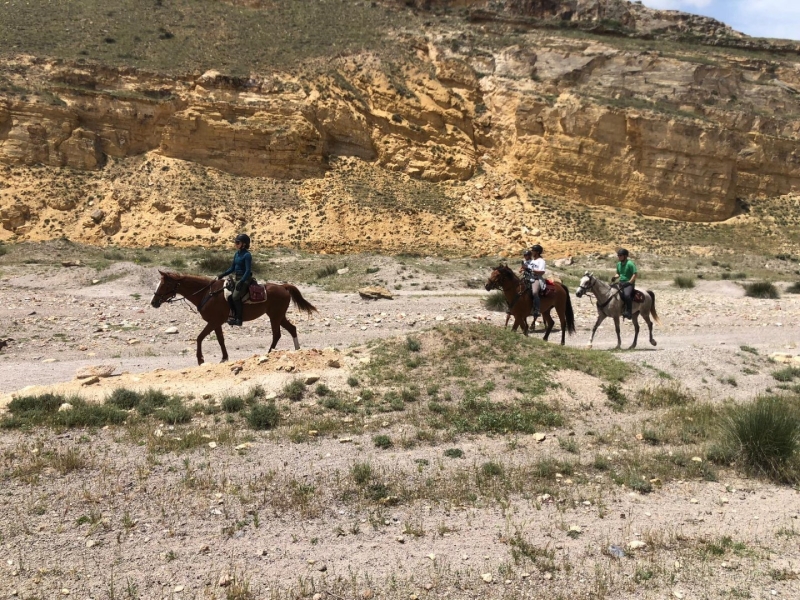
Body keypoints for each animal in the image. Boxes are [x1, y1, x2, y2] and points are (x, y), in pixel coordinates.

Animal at [150, 272, 316, 366]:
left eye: (164, 285)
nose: (153, 302)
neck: (207, 294)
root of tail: (283, 287)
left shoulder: (213, 322)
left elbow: (199, 338)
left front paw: (200, 359)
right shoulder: (216, 323)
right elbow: (220, 340)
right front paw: (224, 358)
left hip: (275, 316)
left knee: (277, 334)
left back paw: (269, 354)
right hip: (279, 316)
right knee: (292, 329)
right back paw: (297, 350)